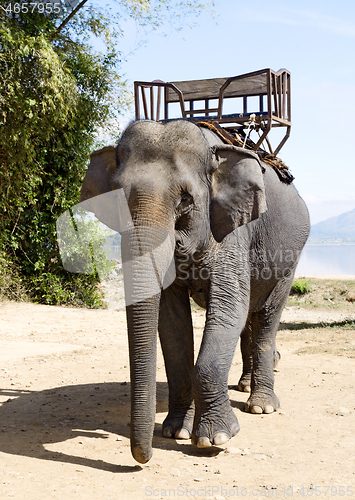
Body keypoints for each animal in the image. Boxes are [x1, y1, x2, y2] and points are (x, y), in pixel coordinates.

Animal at [79, 119, 310, 462]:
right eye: (116, 198)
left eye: (185, 199)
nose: (142, 459)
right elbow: (171, 322)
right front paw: (175, 432)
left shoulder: (233, 231)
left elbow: (228, 309)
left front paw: (215, 438)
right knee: (250, 319)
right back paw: (244, 386)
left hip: (289, 259)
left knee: (266, 317)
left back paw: (261, 406)